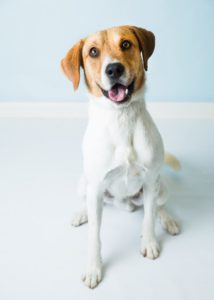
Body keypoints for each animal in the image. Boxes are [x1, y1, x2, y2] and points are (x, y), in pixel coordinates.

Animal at [61, 25, 181, 288]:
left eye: (125, 44)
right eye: (93, 51)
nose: (114, 69)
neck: (121, 118)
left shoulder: (150, 179)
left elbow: (148, 218)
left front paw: (149, 242)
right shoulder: (95, 186)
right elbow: (94, 235)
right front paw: (94, 267)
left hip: (160, 186)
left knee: (158, 206)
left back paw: (167, 219)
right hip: (83, 184)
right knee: (89, 202)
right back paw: (82, 213)